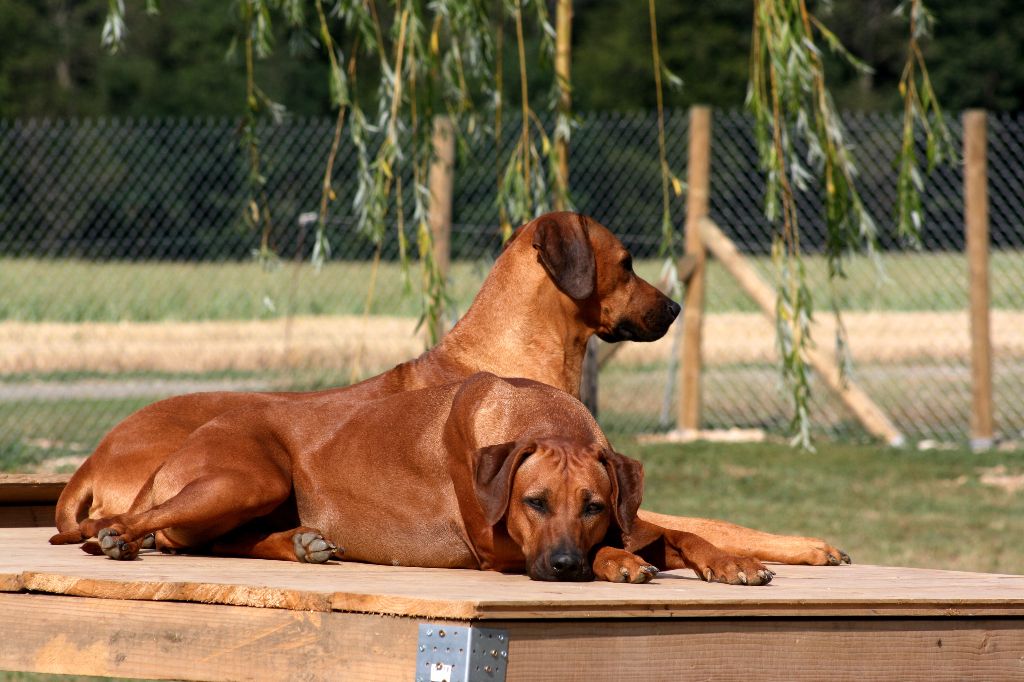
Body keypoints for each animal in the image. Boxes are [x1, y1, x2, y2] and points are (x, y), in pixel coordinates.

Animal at [79, 372, 774, 585]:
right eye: (534, 502)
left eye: (594, 505)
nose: (565, 566)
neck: (535, 413)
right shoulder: (497, 546)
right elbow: (629, 548)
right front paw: (621, 562)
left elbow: (670, 532)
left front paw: (731, 560)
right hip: (245, 478)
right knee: (145, 524)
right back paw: (114, 536)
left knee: (215, 541)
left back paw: (304, 543)